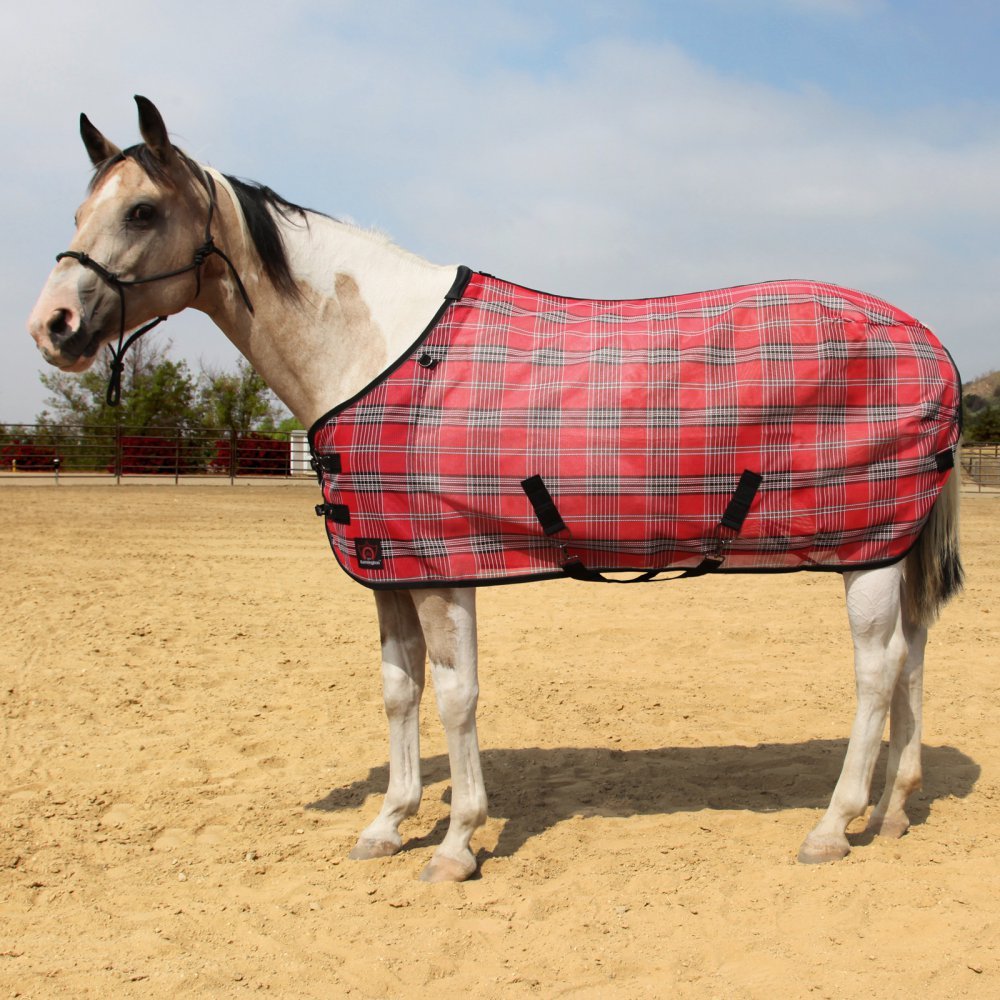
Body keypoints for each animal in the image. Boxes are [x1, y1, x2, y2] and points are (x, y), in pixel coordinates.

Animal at [27, 97, 963, 883]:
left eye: (142, 211)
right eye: (79, 214)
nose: (52, 327)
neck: (377, 352)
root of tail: (931, 342)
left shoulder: (446, 569)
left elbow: (455, 696)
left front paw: (455, 843)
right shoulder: (391, 566)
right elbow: (399, 691)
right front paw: (386, 824)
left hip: (866, 551)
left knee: (877, 670)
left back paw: (832, 825)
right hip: (891, 548)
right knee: (914, 656)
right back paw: (891, 810)